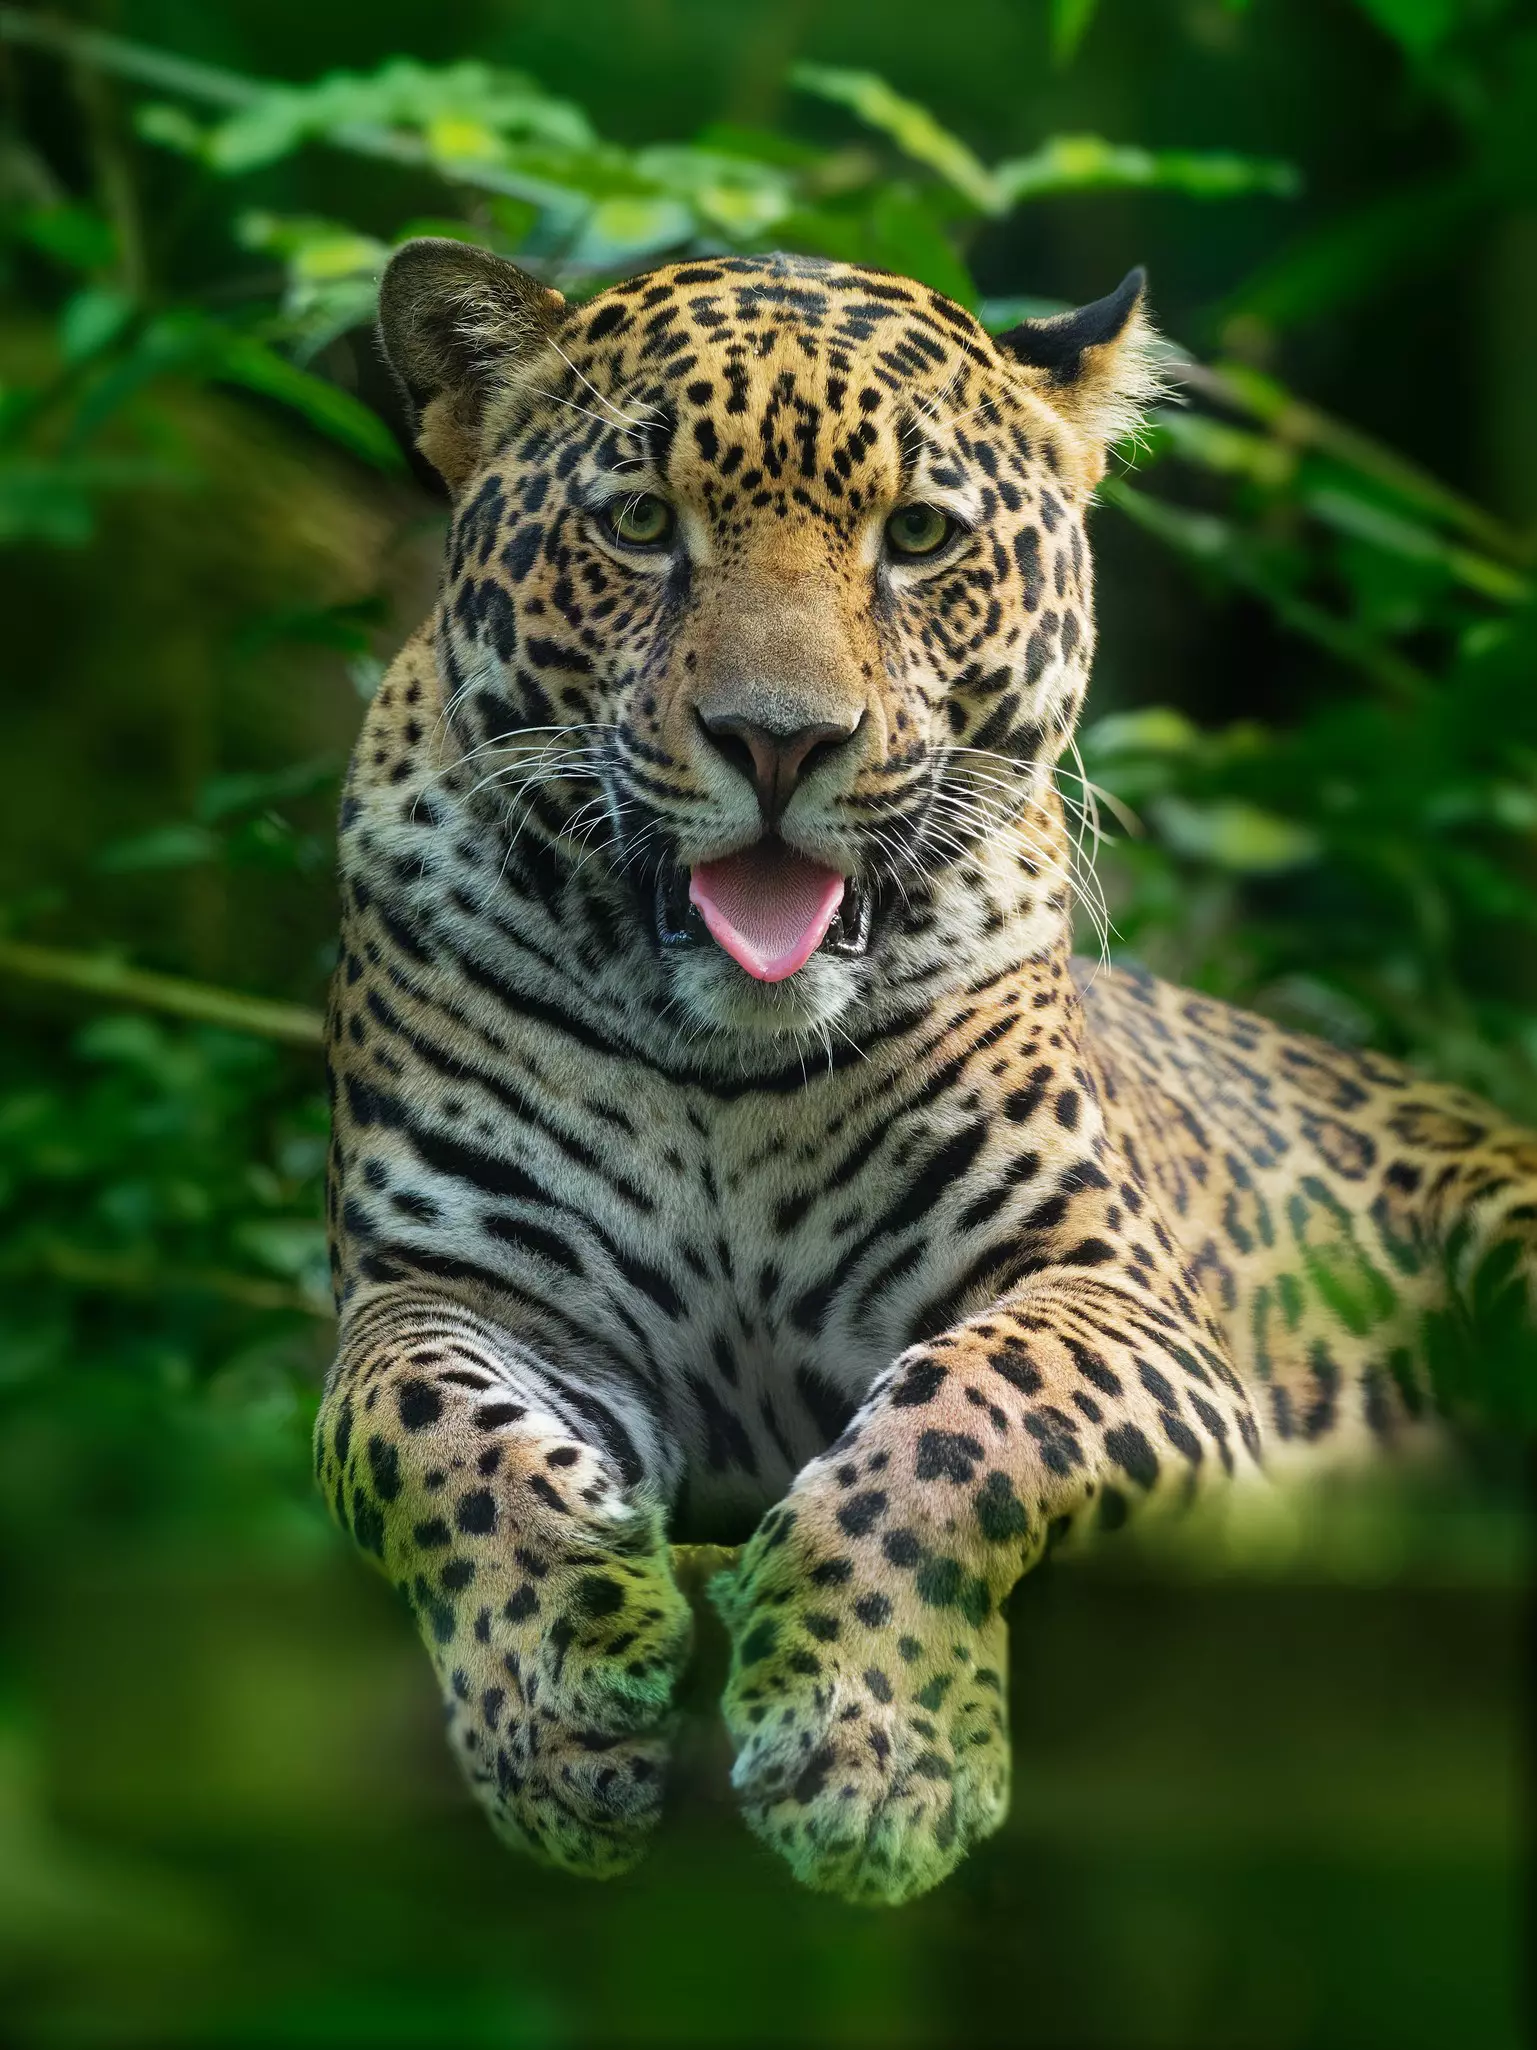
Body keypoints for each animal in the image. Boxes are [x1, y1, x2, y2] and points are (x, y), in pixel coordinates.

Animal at [313, 238, 1537, 1906]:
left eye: (916, 537)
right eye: (640, 525)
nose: (778, 741)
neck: (723, 1058)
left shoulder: (1101, 1288)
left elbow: (961, 1419)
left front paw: (870, 1738)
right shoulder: (455, 1292)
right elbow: (438, 1435)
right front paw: (560, 1691)